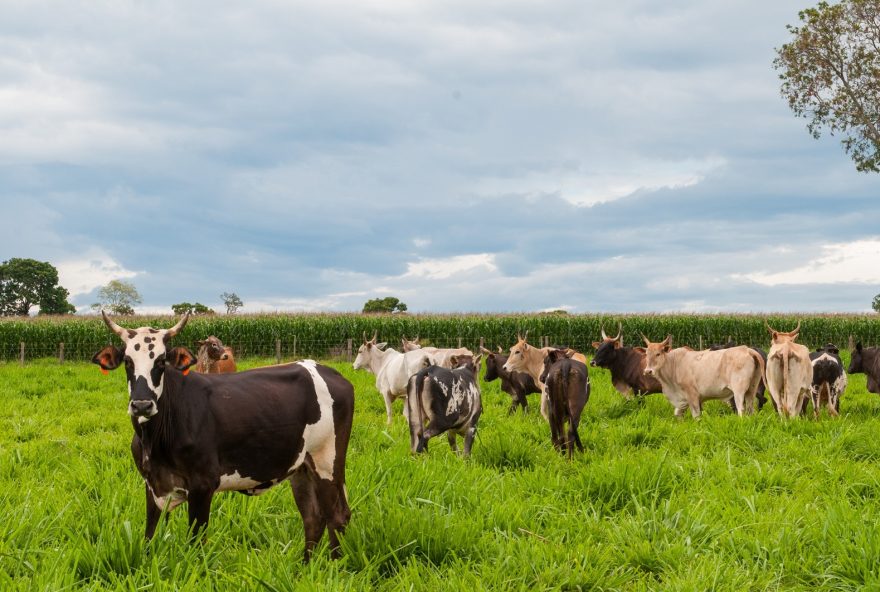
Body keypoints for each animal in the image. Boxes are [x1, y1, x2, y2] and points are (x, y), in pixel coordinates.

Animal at [94, 312, 356, 560]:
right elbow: (149, 537)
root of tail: (330, 372)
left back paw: (334, 566)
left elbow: (196, 543)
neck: (154, 440)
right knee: (313, 517)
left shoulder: (203, 485)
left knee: (337, 516)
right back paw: (305, 566)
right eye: (128, 362)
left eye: (160, 361)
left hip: (327, 462)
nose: (141, 405)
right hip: (302, 467)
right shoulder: (152, 484)